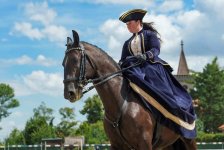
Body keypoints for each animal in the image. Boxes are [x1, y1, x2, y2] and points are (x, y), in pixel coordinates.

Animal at [62, 29, 196, 149]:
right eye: (63, 63)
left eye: (75, 60)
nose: (69, 93)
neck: (121, 104)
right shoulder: (116, 145)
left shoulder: (144, 144)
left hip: (189, 141)